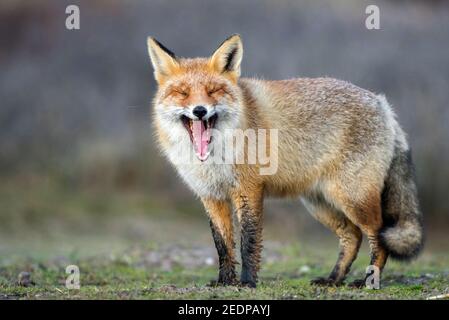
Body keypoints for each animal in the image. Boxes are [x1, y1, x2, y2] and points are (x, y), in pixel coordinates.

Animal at [147, 34, 424, 288]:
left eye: (213, 90)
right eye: (182, 93)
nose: (200, 110)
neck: (214, 156)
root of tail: (382, 103)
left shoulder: (249, 190)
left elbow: (248, 242)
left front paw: (247, 282)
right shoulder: (211, 196)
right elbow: (223, 246)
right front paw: (225, 282)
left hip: (353, 198)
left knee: (378, 236)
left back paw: (367, 281)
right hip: (320, 203)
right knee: (353, 236)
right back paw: (333, 279)